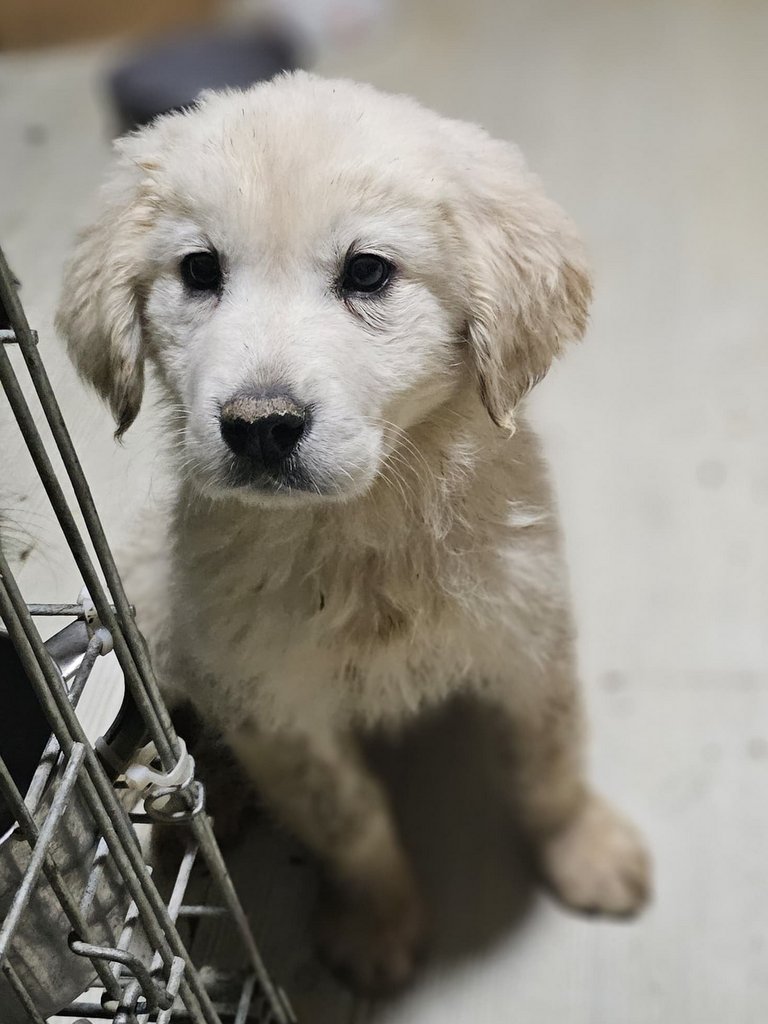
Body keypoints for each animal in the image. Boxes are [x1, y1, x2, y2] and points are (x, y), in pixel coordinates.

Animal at [56, 72, 651, 994]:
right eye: (199, 271)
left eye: (367, 272)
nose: (261, 427)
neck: (356, 528)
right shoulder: (277, 704)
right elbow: (349, 822)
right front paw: (377, 922)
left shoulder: (527, 631)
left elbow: (549, 763)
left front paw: (583, 849)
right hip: (158, 609)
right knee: (183, 720)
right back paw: (194, 807)